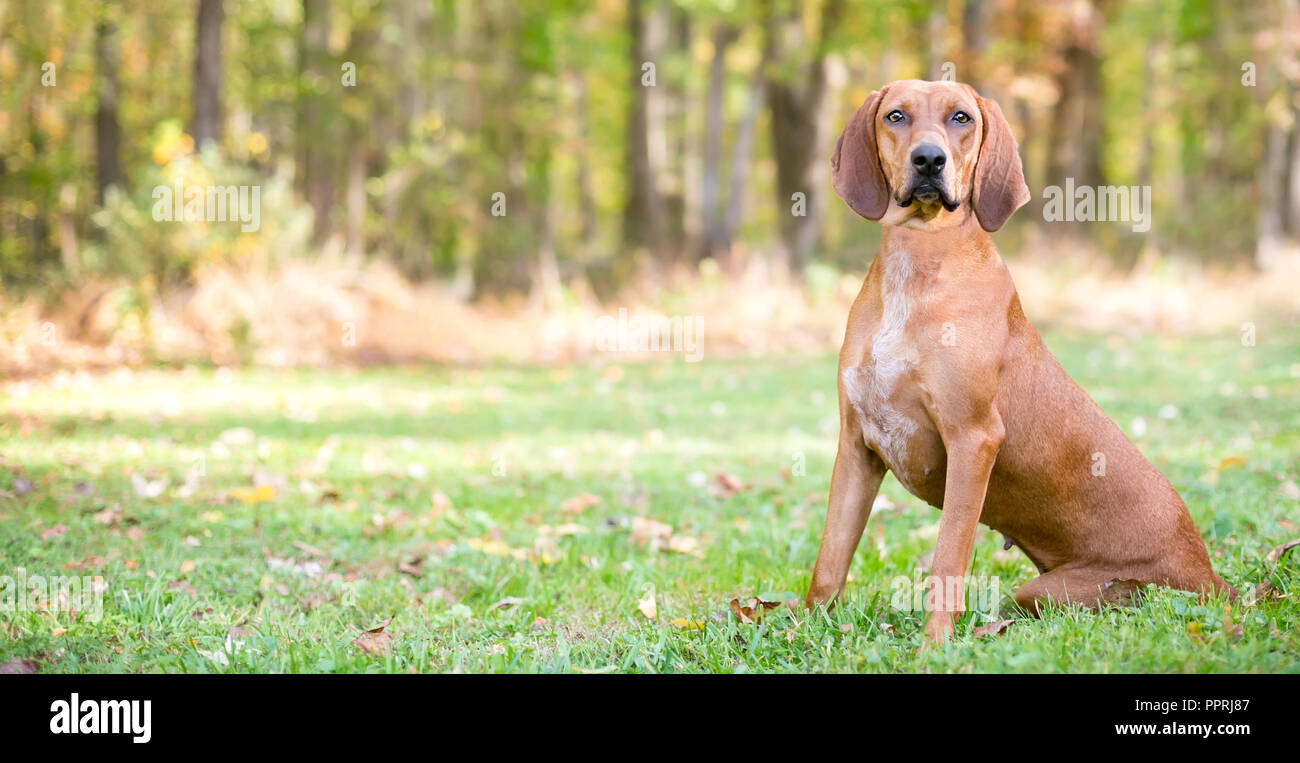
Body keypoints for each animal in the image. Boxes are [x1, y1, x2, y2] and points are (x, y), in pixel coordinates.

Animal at [800, 80, 1227, 644]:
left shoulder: (973, 439)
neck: (918, 260)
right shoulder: (857, 446)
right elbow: (829, 560)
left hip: (1062, 589)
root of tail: (1211, 574)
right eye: (896, 115)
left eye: (960, 117)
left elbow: (948, 560)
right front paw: (801, 630)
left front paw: (934, 645)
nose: (929, 159)